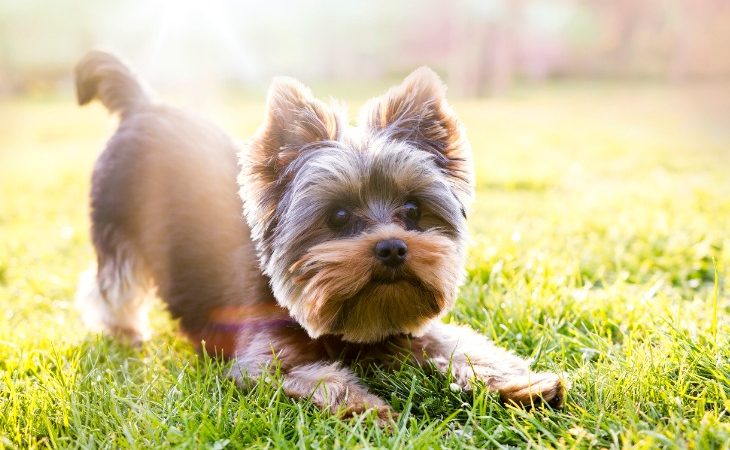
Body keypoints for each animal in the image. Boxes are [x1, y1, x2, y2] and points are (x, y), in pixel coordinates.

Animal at [74, 50, 564, 422]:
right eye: (339, 216)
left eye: (412, 210)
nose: (392, 247)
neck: (348, 325)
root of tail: (142, 105)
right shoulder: (262, 362)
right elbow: (320, 378)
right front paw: (369, 409)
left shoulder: (406, 327)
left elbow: (462, 346)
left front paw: (522, 384)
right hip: (115, 225)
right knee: (111, 284)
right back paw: (124, 331)